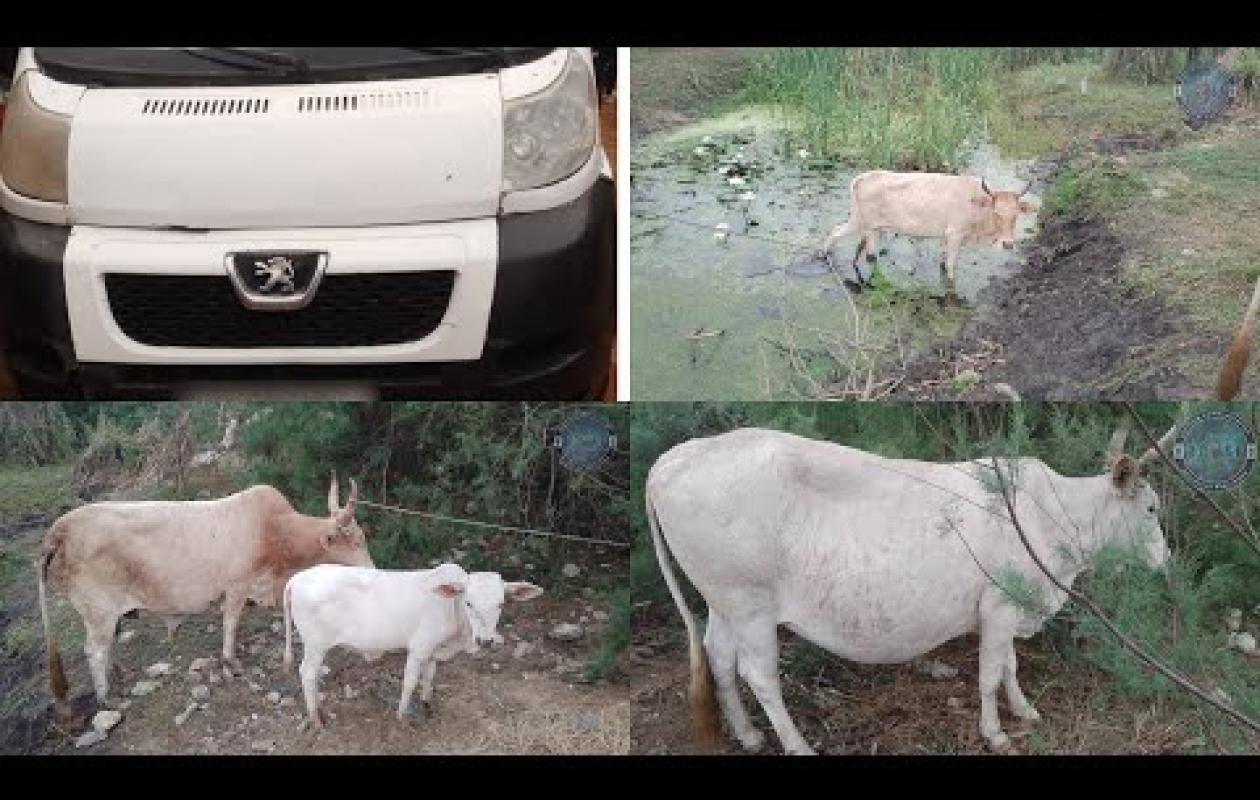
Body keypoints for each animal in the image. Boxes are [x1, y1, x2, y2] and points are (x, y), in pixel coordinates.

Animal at [36, 473, 374, 718]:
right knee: (94, 650)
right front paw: (230, 663)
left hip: (107, 615)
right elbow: (230, 623)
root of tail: (58, 530)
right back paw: (107, 699)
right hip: (98, 612)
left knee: (106, 648)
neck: (274, 532)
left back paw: (115, 677)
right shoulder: (237, 585)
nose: (372, 571)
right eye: (357, 540)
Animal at [282, 562, 544, 728]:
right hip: (315, 644)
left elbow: (429, 678)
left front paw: (427, 706)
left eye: (501, 604)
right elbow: (409, 683)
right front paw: (402, 717)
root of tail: (296, 578)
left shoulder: (433, 651)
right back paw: (316, 718)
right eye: (468, 602)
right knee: (307, 673)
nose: (486, 641)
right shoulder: (419, 648)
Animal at [646, 425, 1172, 755]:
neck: (1053, 517)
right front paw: (995, 733)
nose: (1166, 560)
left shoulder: (1009, 605)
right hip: (749, 602)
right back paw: (797, 745)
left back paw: (748, 734)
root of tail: (671, 460)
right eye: (1151, 509)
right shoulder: (1000, 606)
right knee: (759, 675)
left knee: (718, 656)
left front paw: (1024, 710)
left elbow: (1009, 666)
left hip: (724, 600)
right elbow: (989, 674)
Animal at [821, 170, 1037, 298]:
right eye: (997, 212)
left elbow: (943, 263)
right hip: (858, 221)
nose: (1008, 244)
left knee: (866, 252)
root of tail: (863, 177)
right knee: (836, 232)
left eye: (1016, 215)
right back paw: (824, 255)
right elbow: (950, 267)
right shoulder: (955, 235)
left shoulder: (946, 237)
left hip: (873, 228)